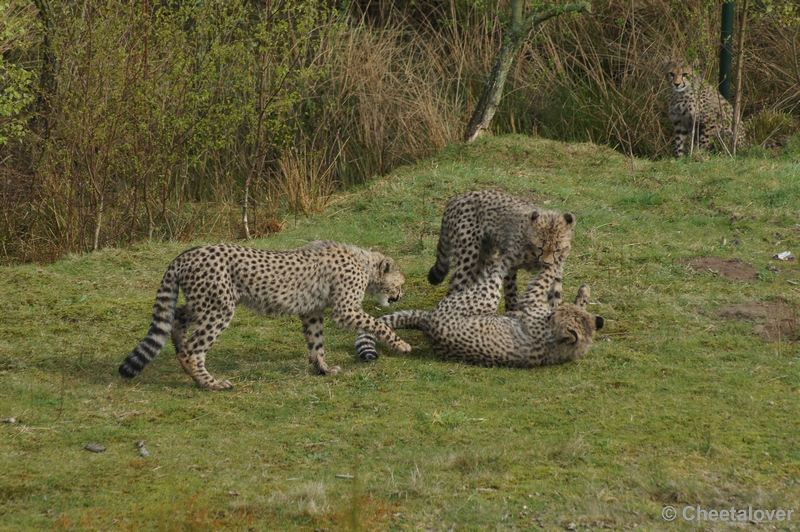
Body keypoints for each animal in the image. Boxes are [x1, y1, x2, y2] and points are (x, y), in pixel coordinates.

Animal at [119, 241, 412, 390]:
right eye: (400, 284)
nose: (399, 296)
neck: (365, 263)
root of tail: (186, 254)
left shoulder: (312, 311)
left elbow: (317, 343)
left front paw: (323, 368)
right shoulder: (346, 309)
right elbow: (377, 325)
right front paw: (401, 345)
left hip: (204, 302)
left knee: (178, 315)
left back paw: (182, 353)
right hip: (219, 308)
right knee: (194, 348)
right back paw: (210, 383)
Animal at [358, 256, 608, 368]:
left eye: (556, 318)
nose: (552, 315)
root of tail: (428, 324)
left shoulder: (530, 302)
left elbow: (545, 276)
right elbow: (577, 304)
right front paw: (584, 292)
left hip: (484, 296)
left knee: (496, 269)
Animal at [424, 190, 576, 312]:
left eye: (557, 249)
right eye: (540, 247)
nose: (546, 262)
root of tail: (457, 199)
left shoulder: (557, 265)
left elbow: (554, 288)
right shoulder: (508, 263)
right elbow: (511, 291)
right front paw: (513, 310)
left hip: (484, 252)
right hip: (469, 254)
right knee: (457, 283)